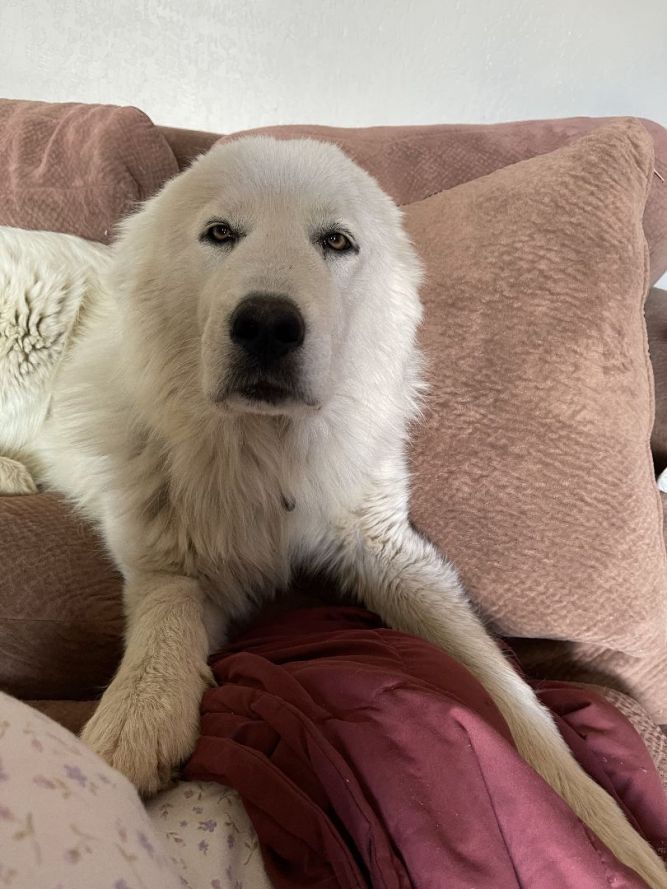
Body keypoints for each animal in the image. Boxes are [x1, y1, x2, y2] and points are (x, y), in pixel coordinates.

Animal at [0, 135, 664, 884]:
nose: (265, 324)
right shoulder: (175, 556)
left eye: (336, 241)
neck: (271, 446)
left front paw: (613, 833)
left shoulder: (392, 553)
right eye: (220, 234)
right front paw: (133, 728)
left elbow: (507, 691)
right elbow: (164, 623)